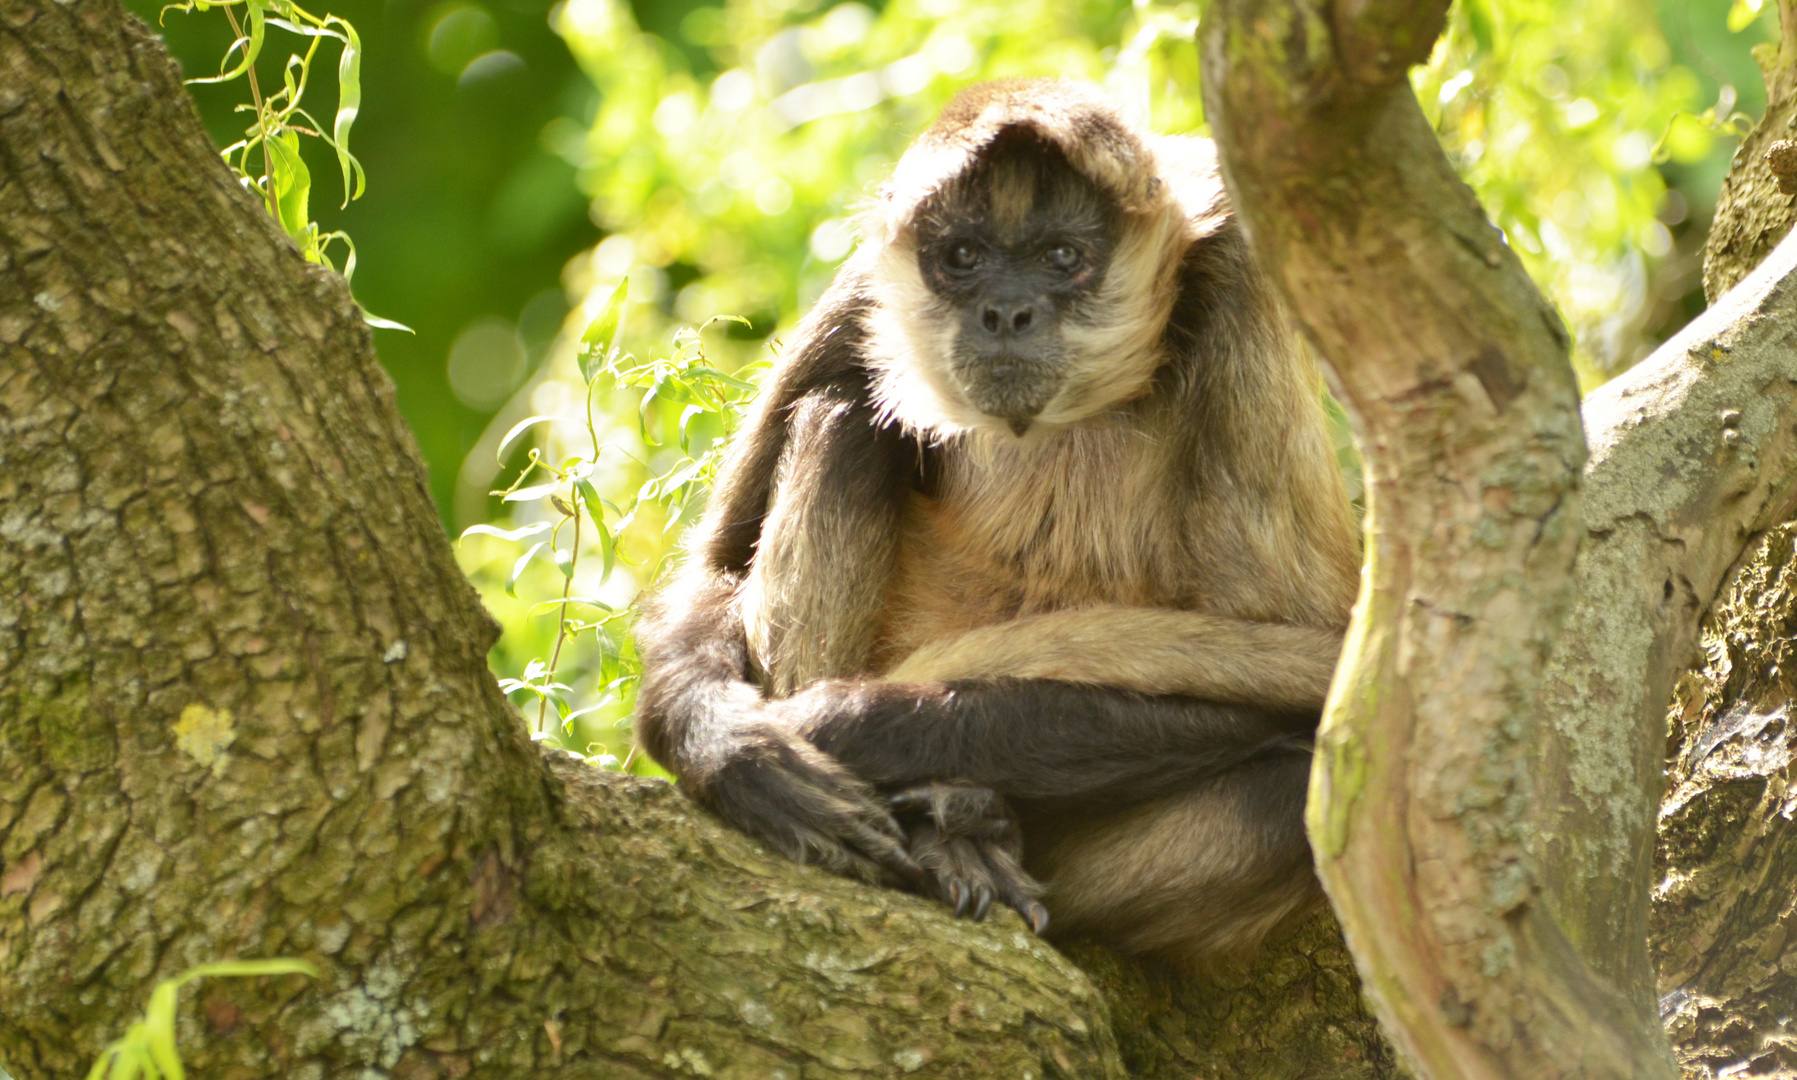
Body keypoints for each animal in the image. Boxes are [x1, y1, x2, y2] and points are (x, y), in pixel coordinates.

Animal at [639, 77, 1351, 970]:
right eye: (963, 258)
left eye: (1061, 258)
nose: (1006, 311)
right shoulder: (868, 290)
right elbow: (719, 562)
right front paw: (735, 746)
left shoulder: (1234, 271)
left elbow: (1315, 672)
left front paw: (853, 725)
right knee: (843, 417)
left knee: (1292, 789)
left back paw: (962, 826)